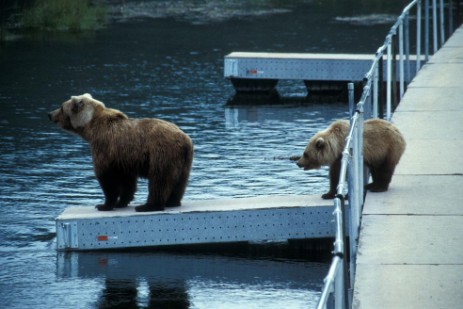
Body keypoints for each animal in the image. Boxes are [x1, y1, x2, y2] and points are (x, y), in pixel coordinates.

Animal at [49, 92, 195, 211]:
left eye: (61, 107)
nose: (49, 114)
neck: (90, 128)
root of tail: (184, 140)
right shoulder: (123, 157)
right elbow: (127, 180)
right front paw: (122, 202)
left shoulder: (105, 147)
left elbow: (106, 177)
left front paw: (104, 205)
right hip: (184, 160)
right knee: (180, 182)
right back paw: (173, 202)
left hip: (161, 152)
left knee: (159, 179)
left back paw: (147, 206)